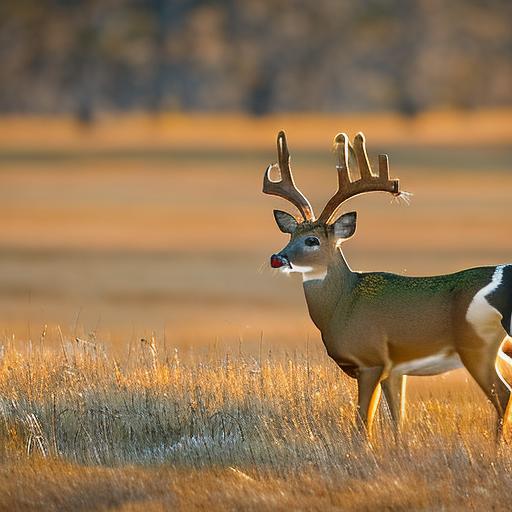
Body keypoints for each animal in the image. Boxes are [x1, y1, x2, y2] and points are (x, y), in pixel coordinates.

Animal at [264, 130, 512, 438]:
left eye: (312, 240)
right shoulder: (394, 369)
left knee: (503, 394)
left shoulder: (371, 360)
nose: (278, 257)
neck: (342, 305)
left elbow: (362, 422)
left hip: (476, 344)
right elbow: (398, 418)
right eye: (290, 235)